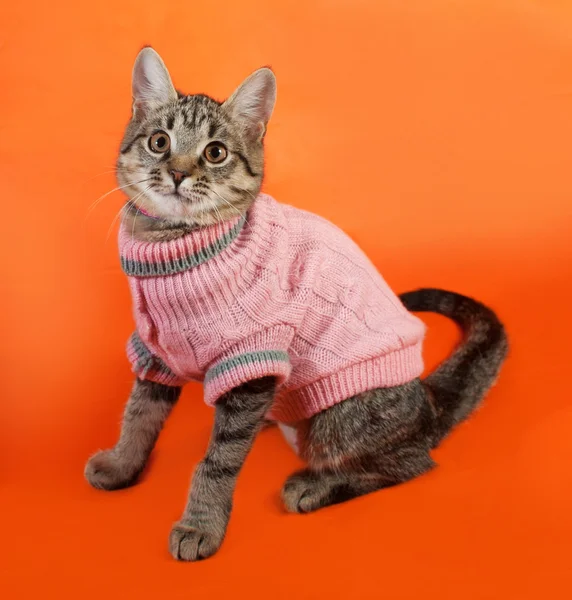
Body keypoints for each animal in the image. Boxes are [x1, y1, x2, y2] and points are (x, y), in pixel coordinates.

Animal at [84, 48, 504, 564]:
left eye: (215, 152)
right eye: (159, 142)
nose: (179, 172)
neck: (174, 247)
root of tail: (426, 404)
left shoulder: (254, 358)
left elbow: (217, 461)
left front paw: (200, 524)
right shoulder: (155, 351)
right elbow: (138, 415)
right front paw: (122, 465)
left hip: (339, 419)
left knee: (412, 463)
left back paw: (315, 485)